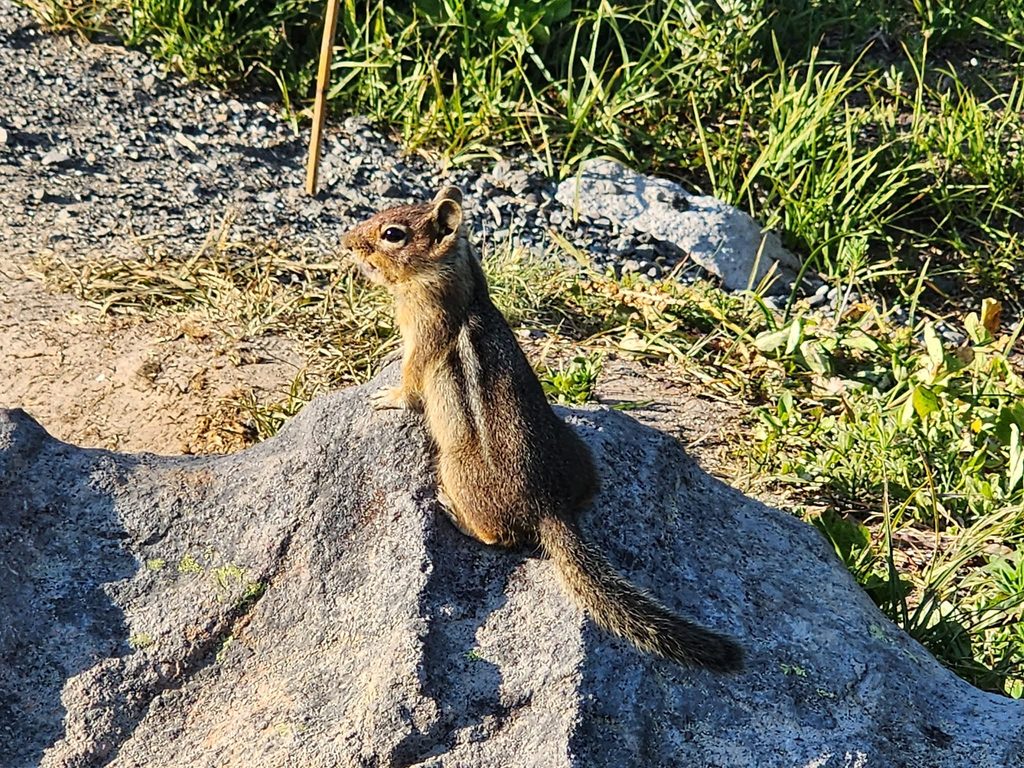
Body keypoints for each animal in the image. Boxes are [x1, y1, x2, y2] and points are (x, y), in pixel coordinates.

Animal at [342, 186, 743, 672]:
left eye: (392, 234)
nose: (345, 242)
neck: (457, 281)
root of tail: (551, 507)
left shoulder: (423, 336)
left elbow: (410, 378)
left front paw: (386, 397)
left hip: (454, 468)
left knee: (498, 537)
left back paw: (451, 512)